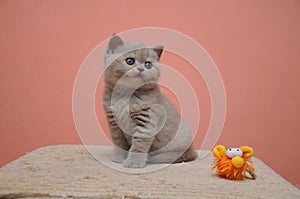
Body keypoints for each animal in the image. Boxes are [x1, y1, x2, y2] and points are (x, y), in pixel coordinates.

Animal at [102, 34, 197, 168]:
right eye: (130, 61)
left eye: (148, 64)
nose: (141, 69)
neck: (126, 95)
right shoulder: (114, 124)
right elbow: (119, 143)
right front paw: (118, 159)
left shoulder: (147, 122)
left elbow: (139, 144)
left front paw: (134, 162)